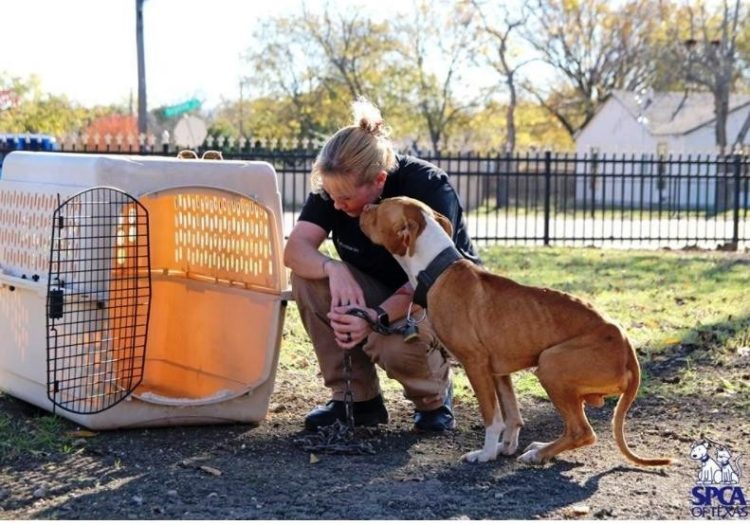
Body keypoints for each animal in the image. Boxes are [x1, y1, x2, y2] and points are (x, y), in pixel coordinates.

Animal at [362, 194, 672, 464]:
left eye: (381, 207)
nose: (364, 206)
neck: (438, 269)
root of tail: (628, 349)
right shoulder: (499, 372)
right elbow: (511, 415)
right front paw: (506, 447)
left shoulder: (476, 365)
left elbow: (491, 417)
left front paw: (485, 454)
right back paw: (540, 448)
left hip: (550, 365)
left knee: (583, 432)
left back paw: (538, 454)